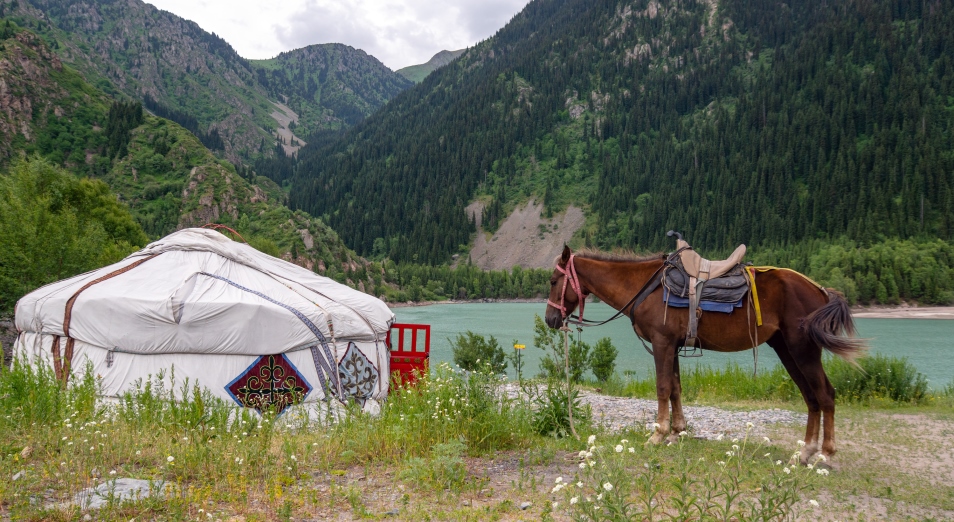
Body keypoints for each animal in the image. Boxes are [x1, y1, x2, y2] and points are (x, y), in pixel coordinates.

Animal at [544, 245, 864, 464]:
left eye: (552, 281)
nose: (550, 319)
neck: (646, 288)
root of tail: (820, 290)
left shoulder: (661, 343)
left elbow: (662, 388)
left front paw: (657, 435)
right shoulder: (672, 346)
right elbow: (675, 388)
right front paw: (677, 432)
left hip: (803, 349)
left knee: (825, 395)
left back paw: (824, 454)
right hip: (787, 350)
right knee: (811, 398)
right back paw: (805, 452)